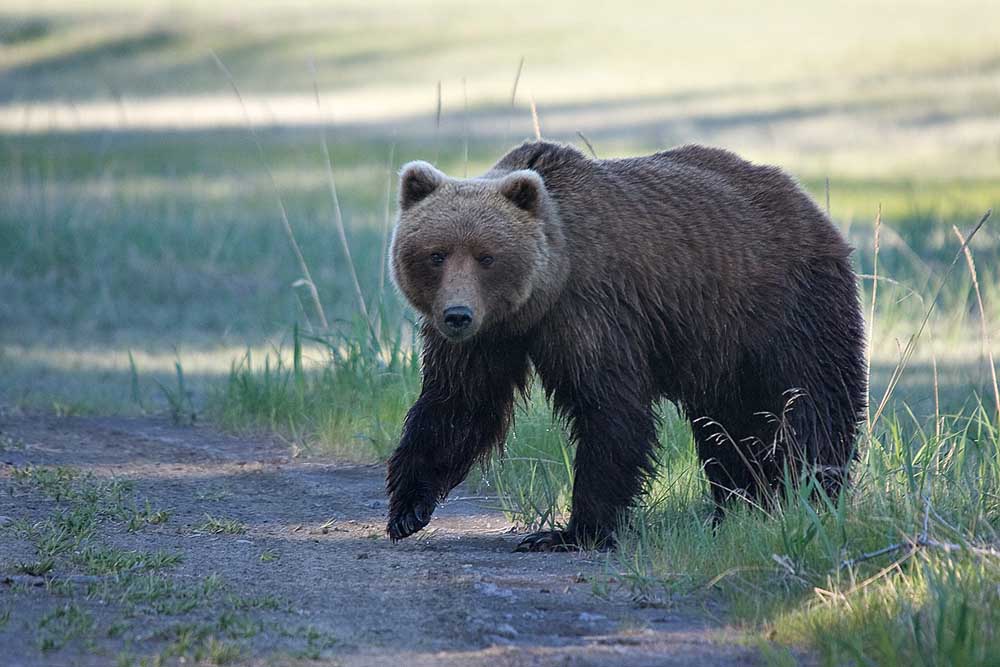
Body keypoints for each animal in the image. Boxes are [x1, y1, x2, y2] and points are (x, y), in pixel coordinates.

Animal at [382, 138, 868, 552]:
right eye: (436, 254)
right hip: (722, 350)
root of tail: (805, 199)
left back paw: (811, 496)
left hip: (787, 305)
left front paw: (571, 532)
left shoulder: (593, 310)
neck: (542, 295)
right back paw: (740, 508)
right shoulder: (489, 340)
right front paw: (407, 509)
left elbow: (610, 409)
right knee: (728, 428)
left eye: (487, 256)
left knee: (811, 403)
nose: (457, 315)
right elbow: (458, 404)